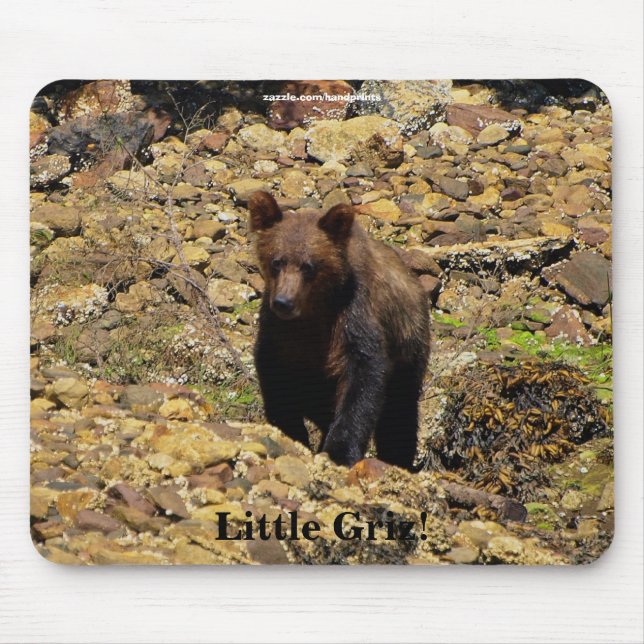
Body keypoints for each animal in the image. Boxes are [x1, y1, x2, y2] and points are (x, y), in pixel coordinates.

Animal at [248, 191, 430, 469]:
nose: (283, 302)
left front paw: (340, 450)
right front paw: (290, 433)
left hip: (409, 348)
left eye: (309, 266)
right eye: (277, 261)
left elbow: (364, 376)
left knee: (400, 412)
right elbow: (275, 375)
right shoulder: (279, 332)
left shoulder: (353, 315)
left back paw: (396, 458)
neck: (313, 312)